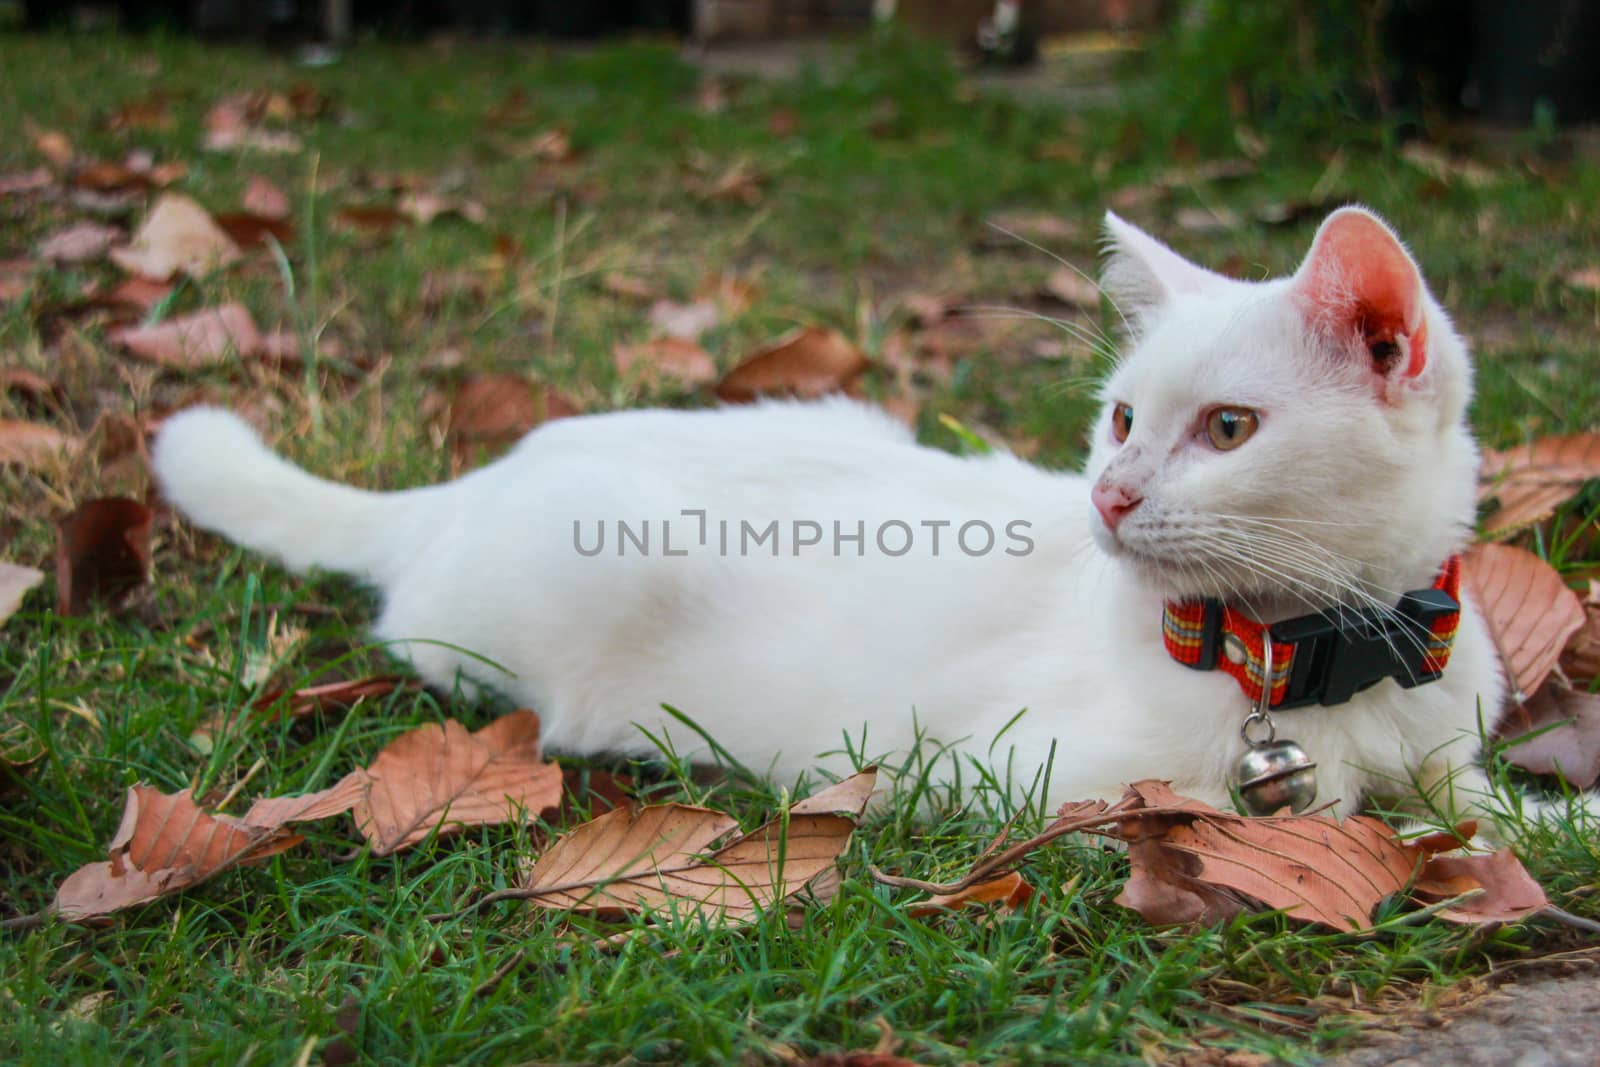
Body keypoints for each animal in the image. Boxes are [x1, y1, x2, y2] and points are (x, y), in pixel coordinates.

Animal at [150, 211, 1510, 825]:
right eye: (1123, 417)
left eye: (1227, 428)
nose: (1108, 492)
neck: (1323, 662)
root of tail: (480, 477)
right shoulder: (1036, 774)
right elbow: (1303, 809)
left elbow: (1473, 804)